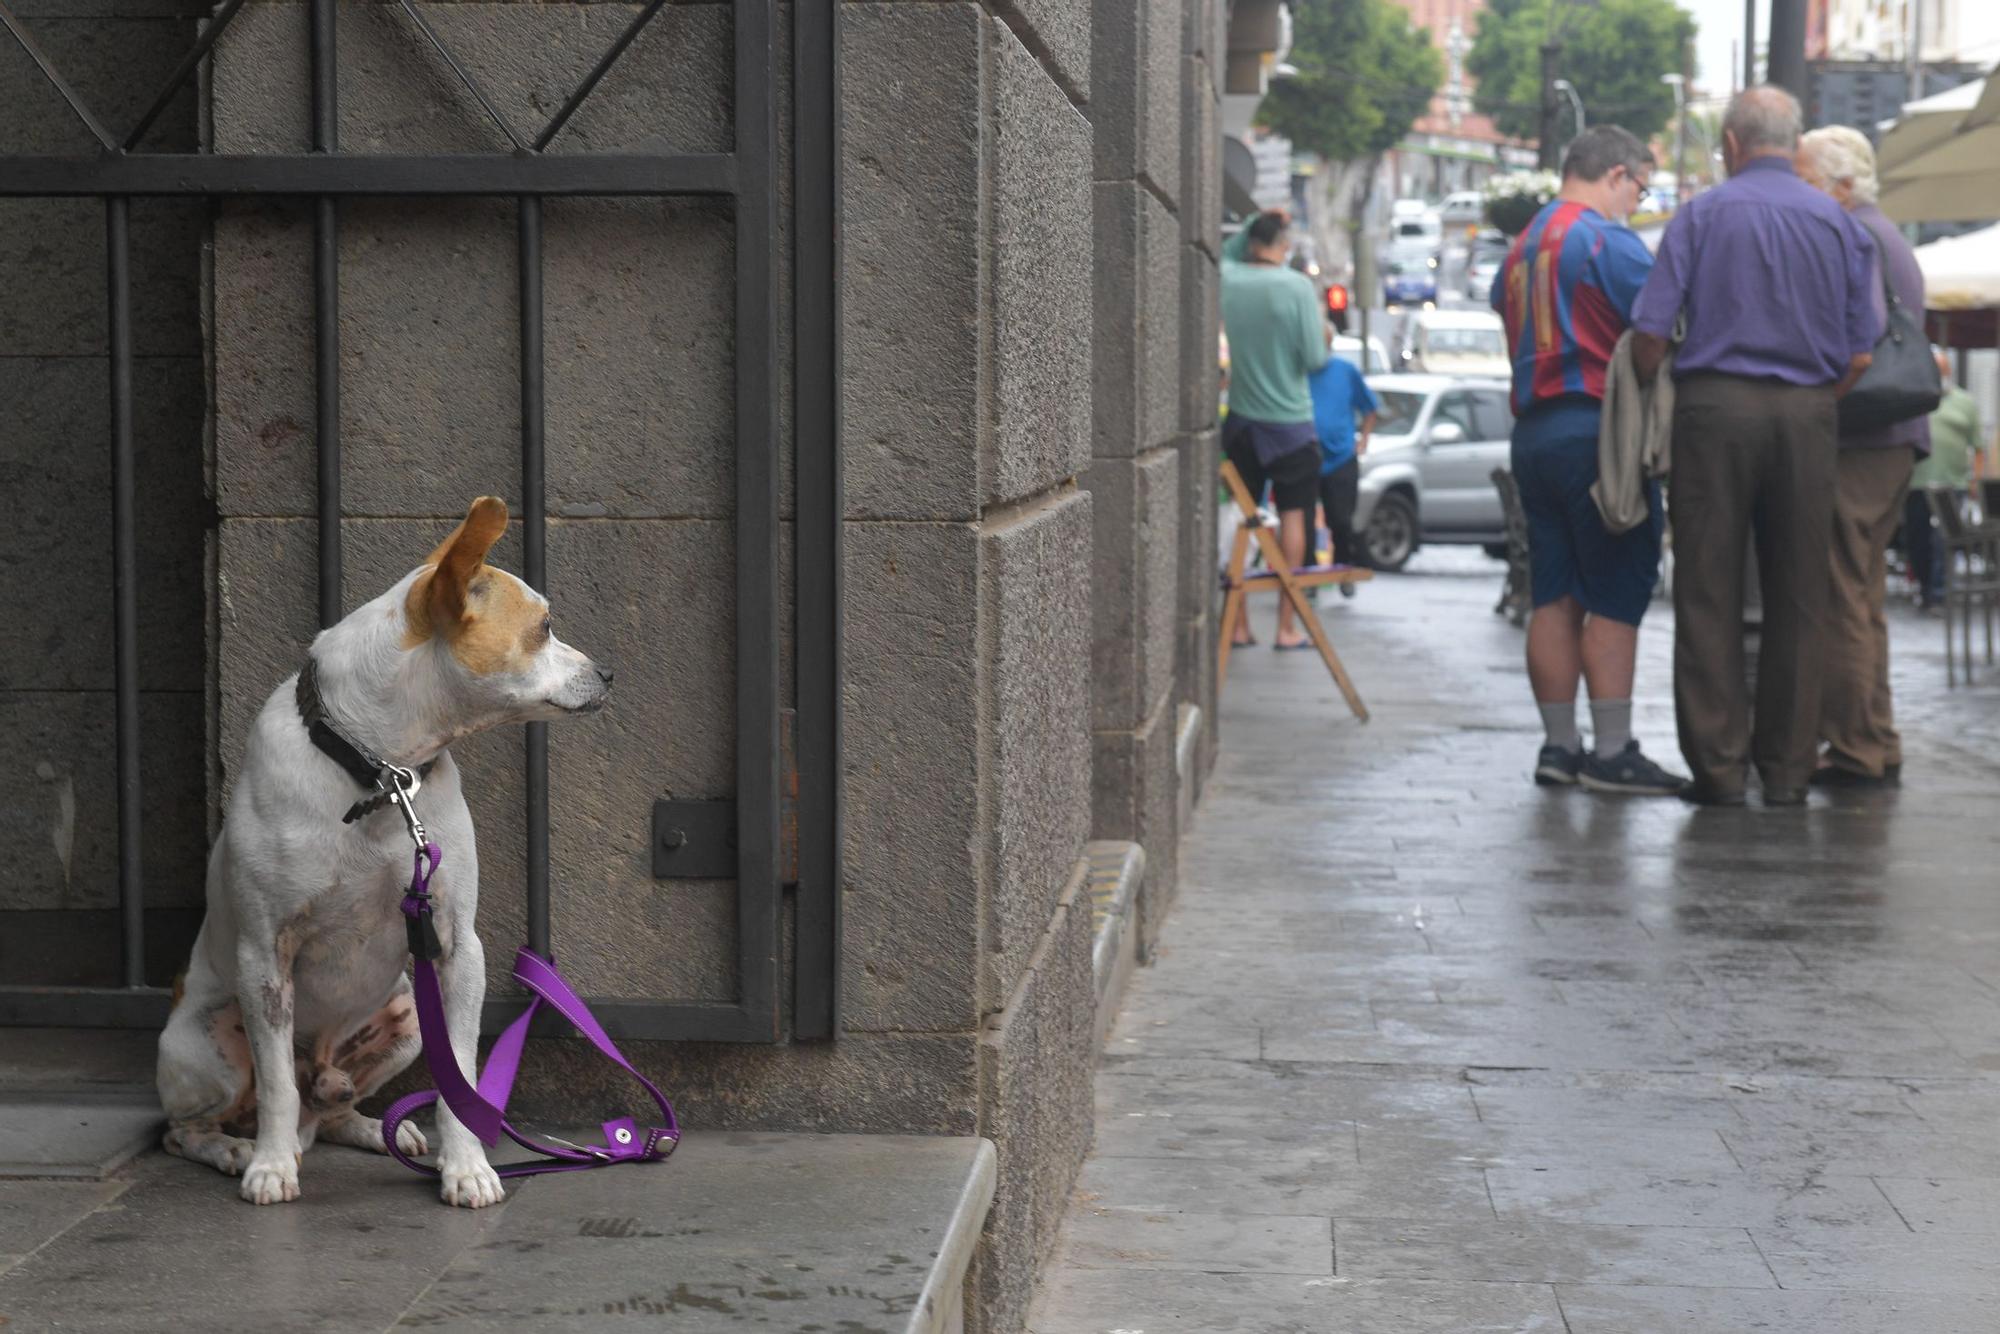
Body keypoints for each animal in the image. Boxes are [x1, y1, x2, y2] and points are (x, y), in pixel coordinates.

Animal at [158, 498, 608, 1208]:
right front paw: (271, 1168)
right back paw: (238, 1147)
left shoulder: (456, 948)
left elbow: (460, 1081)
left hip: (407, 1018)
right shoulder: (264, 957)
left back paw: (372, 1127)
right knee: (200, 1123)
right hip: (211, 1046)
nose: (608, 673)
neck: (380, 774)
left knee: (328, 1105)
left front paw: (466, 1166)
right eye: (543, 627)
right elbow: (277, 1086)